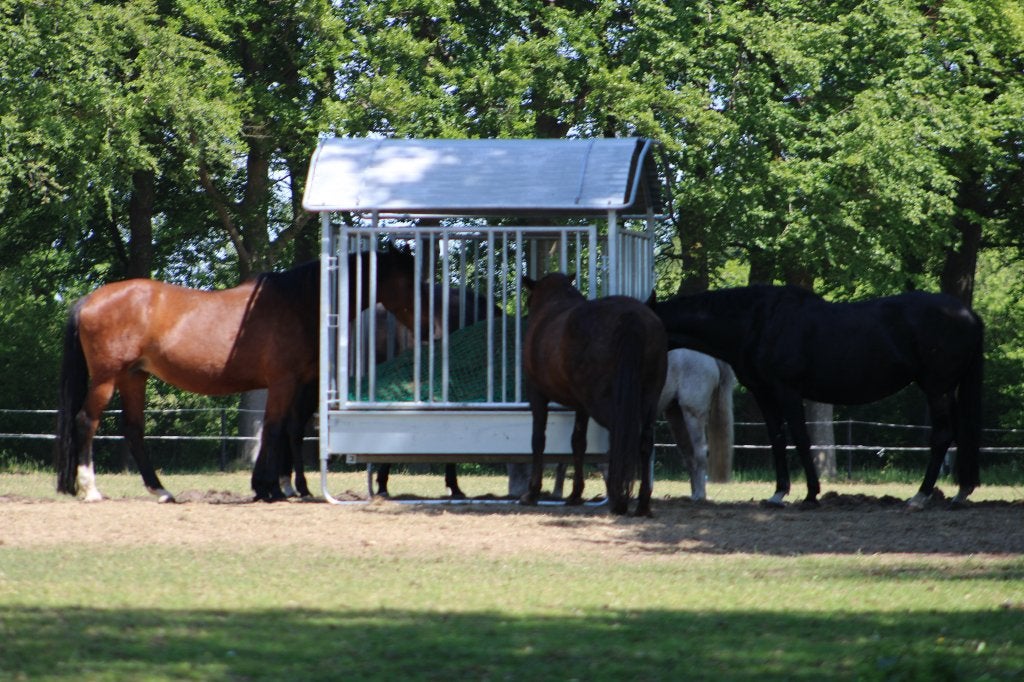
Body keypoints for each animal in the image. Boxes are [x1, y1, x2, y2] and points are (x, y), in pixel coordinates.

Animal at [55, 245, 421, 503]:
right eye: (412, 280)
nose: (425, 325)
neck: (297, 303)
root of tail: (89, 300)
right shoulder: (284, 382)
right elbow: (273, 429)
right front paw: (268, 488)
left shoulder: (291, 385)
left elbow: (278, 429)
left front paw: (274, 486)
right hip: (107, 378)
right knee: (86, 421)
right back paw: (91, 489)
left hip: (134, 377)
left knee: (133, 429)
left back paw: (161, 491)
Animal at [520, 273, 667, 516]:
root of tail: (632, 316)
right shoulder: (581, 405)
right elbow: (578, 441)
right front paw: (575, 494)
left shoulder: (537, 394)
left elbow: (538, 439)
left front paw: (532, 492)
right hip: (650, 397)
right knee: (645, 440)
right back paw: (642, 503)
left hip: (603, 402)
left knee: (622, 434)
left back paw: (619, 499)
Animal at [652, 285, 984, 509]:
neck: (758, 321)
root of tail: (968, 314)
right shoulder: (765, 393)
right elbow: (777, 440)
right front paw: (778, 493)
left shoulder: (786, 391)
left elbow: (800, 438)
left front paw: (811, 493)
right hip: (948, 390)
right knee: (959, 434)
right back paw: (960, 492)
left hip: (937, 388)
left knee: (942, 436)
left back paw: (921, 496)